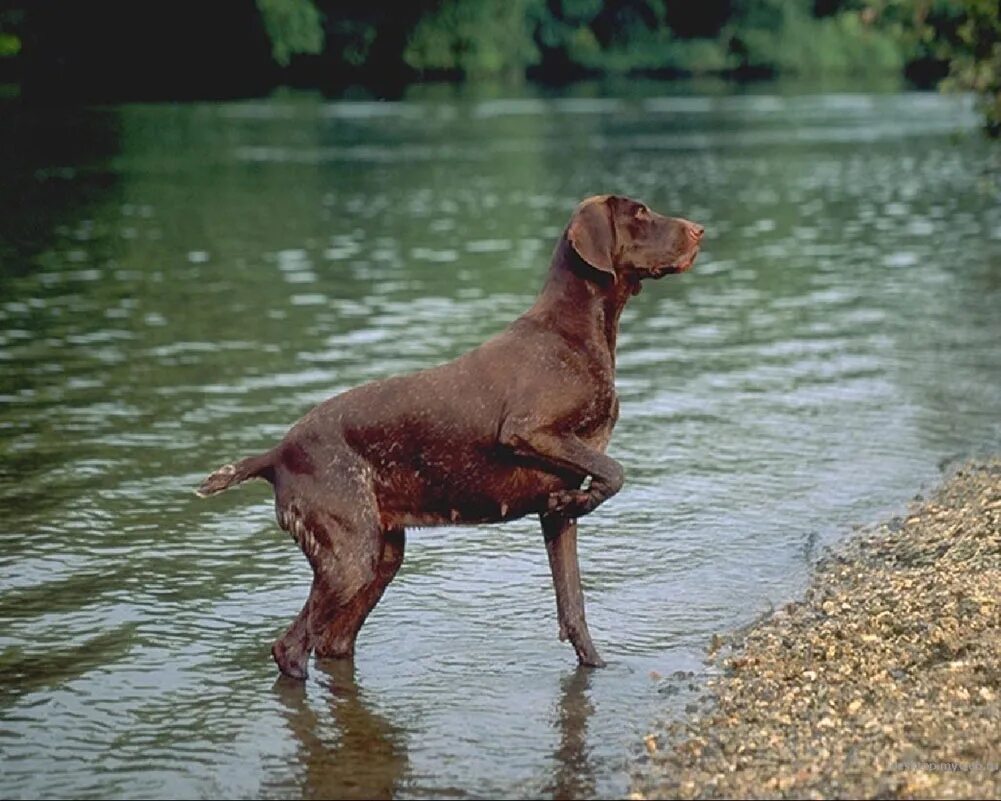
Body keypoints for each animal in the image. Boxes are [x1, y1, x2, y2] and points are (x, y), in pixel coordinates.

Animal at [193, 194, 696, 676]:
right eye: (640, 213)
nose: (699, 230)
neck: (573, 332)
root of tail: (276, 453)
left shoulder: (555, 516)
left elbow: (573, 607)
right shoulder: (528, 431)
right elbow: (614, 471)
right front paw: (589, 497)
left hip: (380, 558)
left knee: (333, 644)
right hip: (348, 562)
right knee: (290, 648)